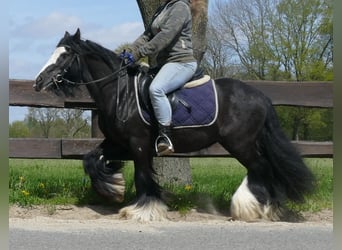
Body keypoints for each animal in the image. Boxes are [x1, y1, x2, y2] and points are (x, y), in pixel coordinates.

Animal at [33, 28, 314, 222]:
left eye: (65, 55)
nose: (38, 82)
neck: (121, 93)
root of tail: (260, 96)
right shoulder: (116, 142)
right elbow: (91, 160)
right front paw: (114, 188)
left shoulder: (138, 144)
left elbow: (142, 175)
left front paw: (142, 209)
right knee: (265, 169)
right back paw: (269, 207)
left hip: (240, 143)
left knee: (260, 168)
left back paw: (250, 207)